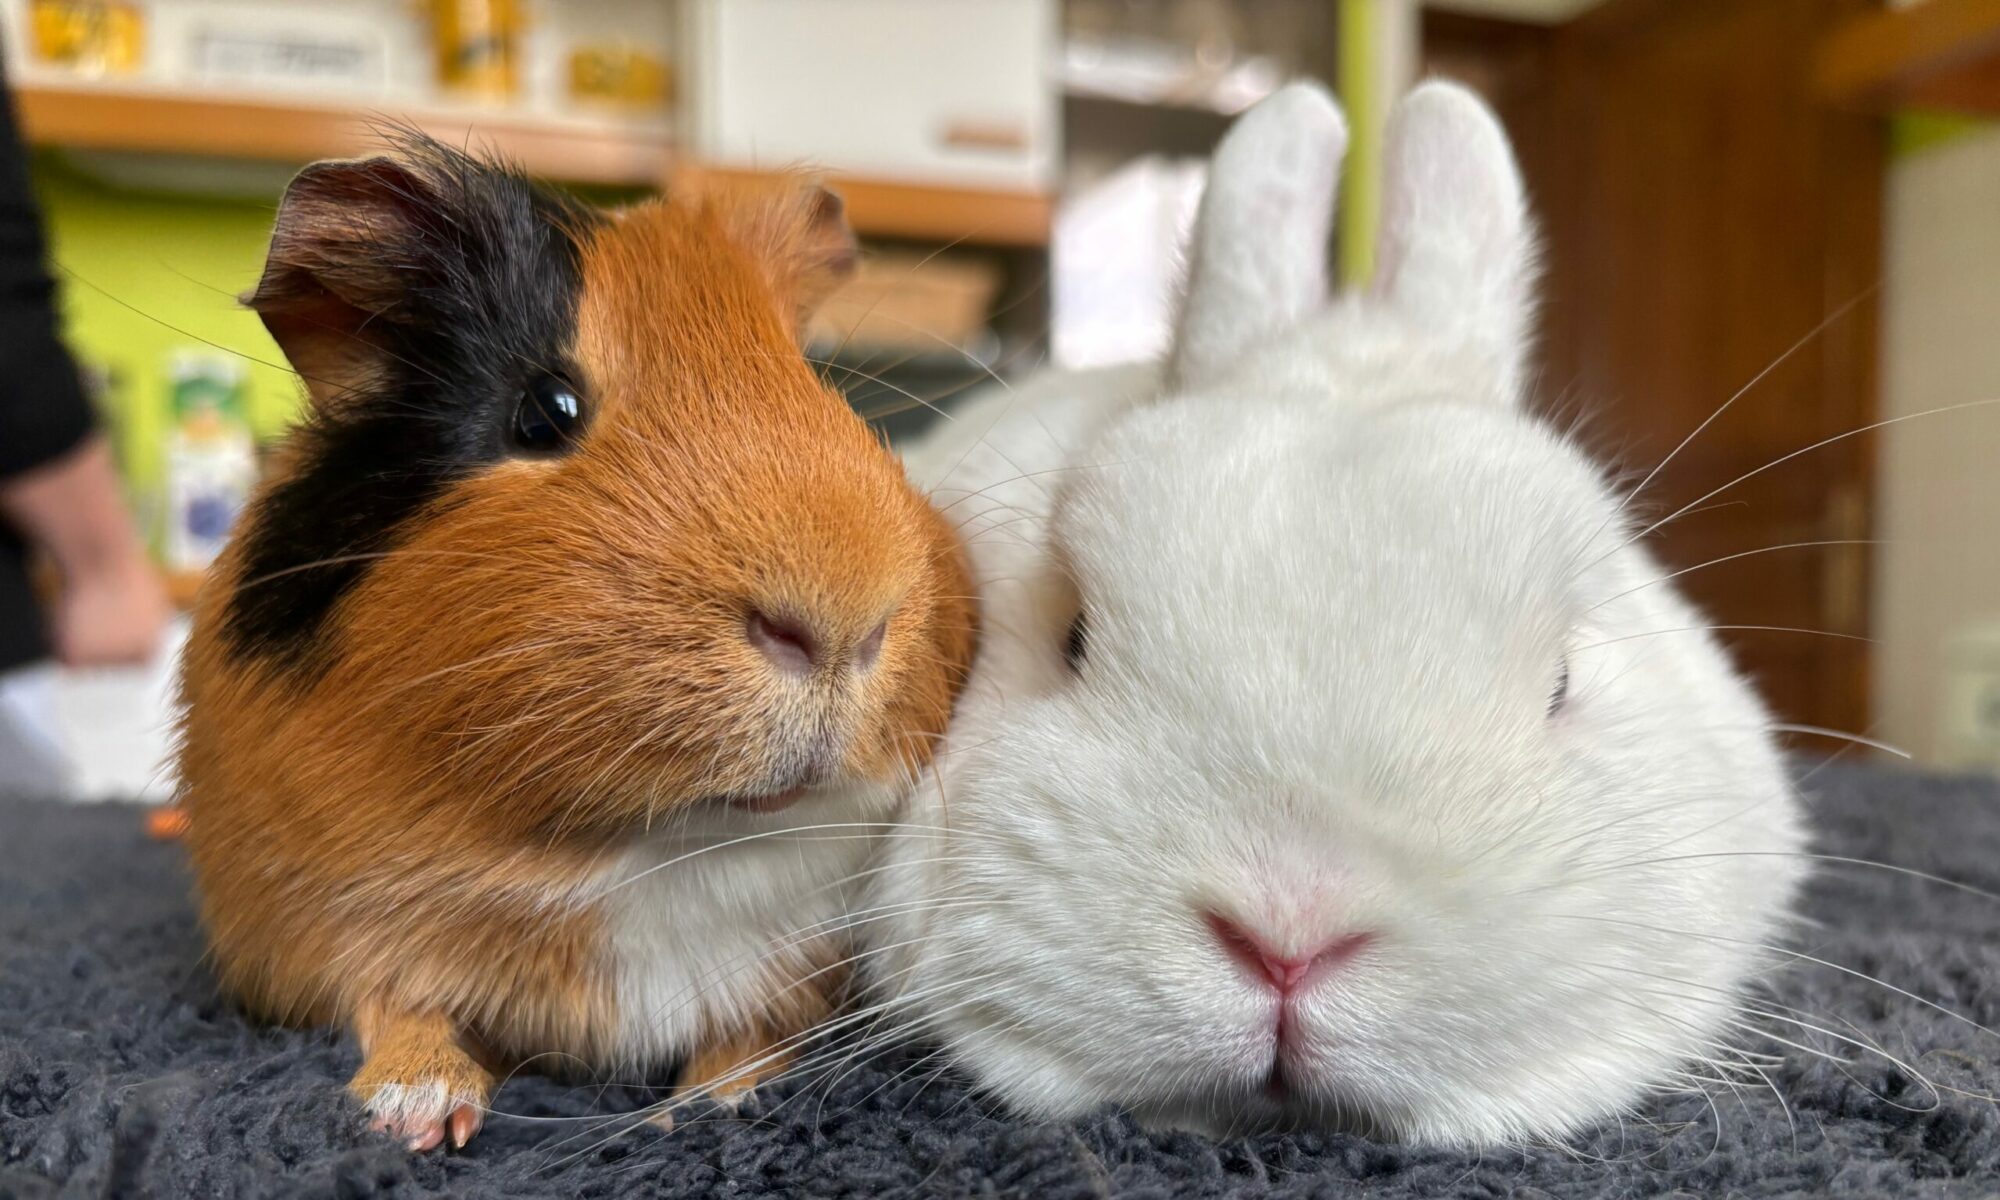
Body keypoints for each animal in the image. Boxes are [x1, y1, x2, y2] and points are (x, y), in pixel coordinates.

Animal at [175, 134, 977, 1151]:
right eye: (544, 409)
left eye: (819, 383)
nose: (842, 626)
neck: (651, 849)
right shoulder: (317, 929)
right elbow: (396, 1011)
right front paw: (416, 1117)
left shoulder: (798, 970)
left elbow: (751, 1038)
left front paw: (707, 1109)